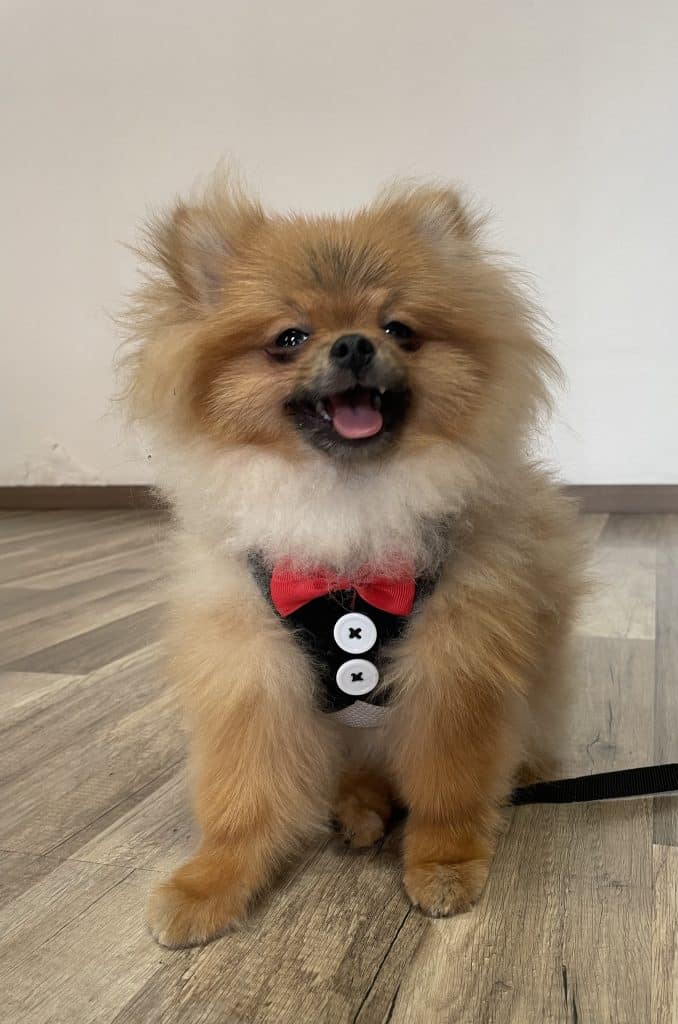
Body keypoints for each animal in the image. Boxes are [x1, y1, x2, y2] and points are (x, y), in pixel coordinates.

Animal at [121, 174, 585, 947]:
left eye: (398, 329)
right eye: (289, 338)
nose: (354, 345)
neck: (346, 505)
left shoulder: (453, 667)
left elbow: (449, 786)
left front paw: (445, 864)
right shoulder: (252, 668)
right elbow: (241, 795)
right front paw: (209, 883)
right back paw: (358, 807)